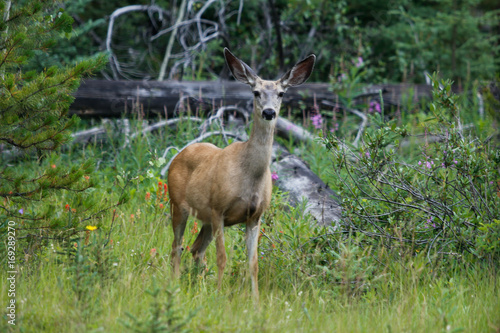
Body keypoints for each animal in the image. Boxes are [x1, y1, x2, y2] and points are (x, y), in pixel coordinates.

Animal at [168, 48, 316, 300]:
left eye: (281, 93)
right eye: (256, 92)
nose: (269, 112)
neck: (249, 176)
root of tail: (179, 154)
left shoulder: (255, 217)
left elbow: (253, 263)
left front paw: (255, 302)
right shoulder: (218, 209)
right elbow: (222, 258)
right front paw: (219, 295)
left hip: (205, 219)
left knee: (196, 249)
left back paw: (198, 286)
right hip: (178, 204)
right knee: (177, 247)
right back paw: (176, 285)